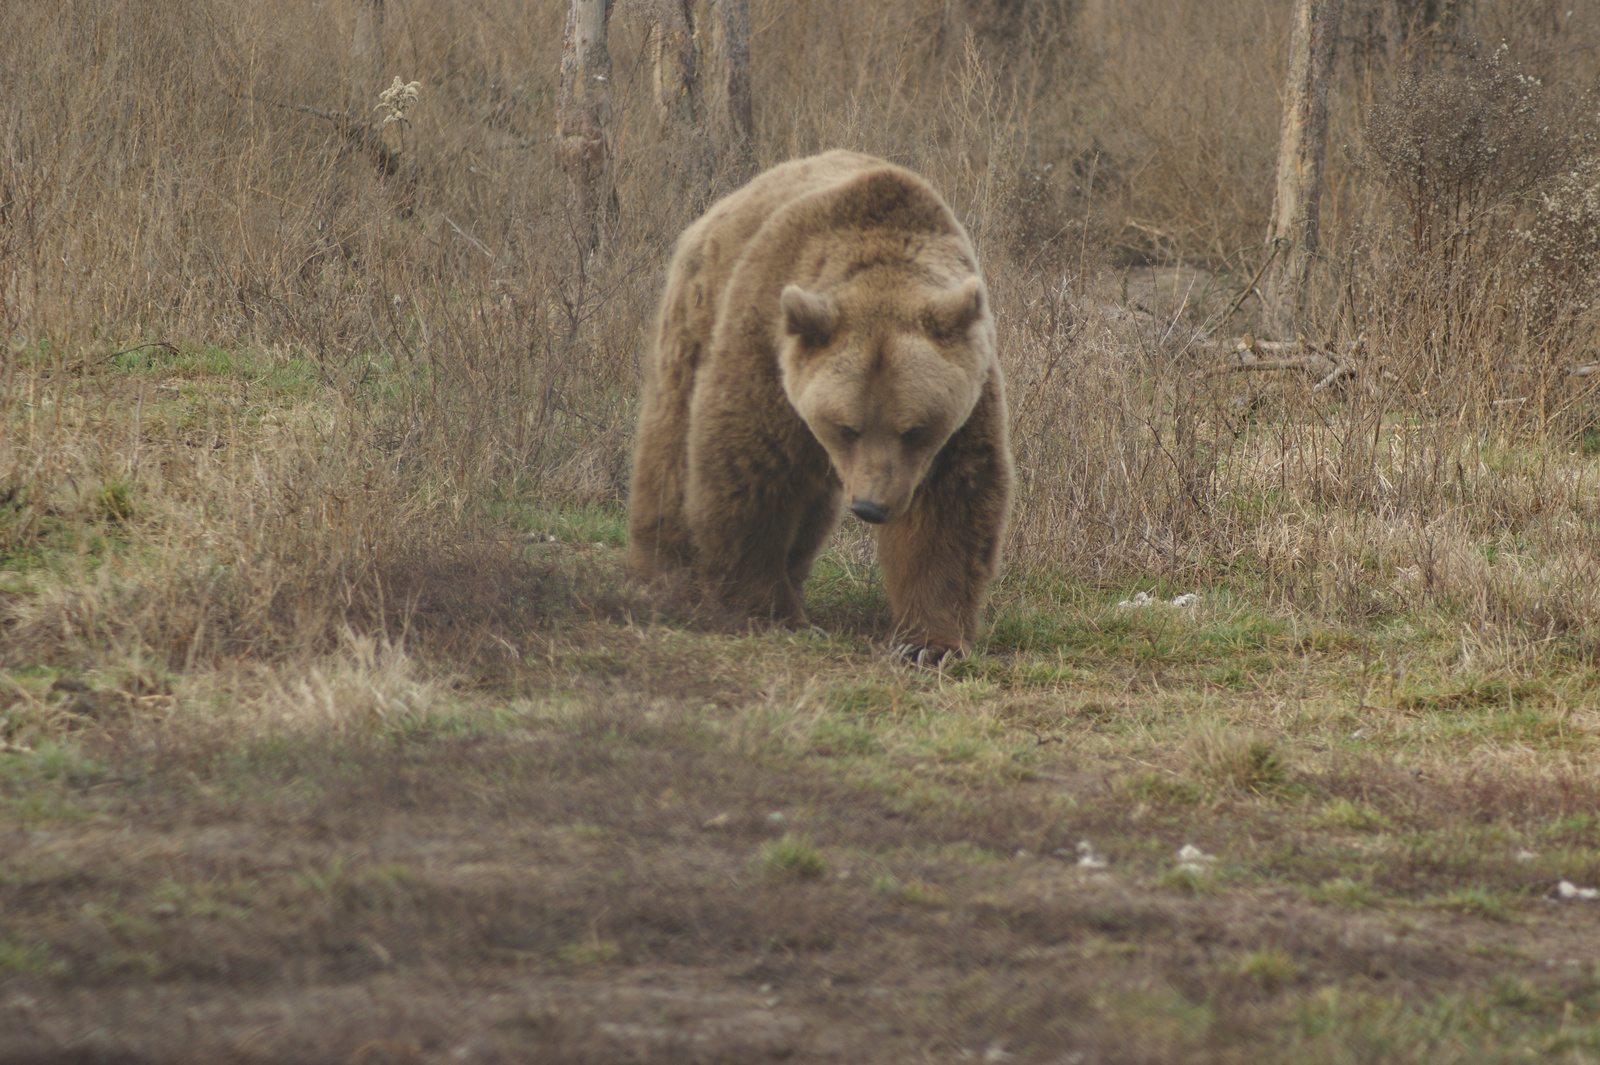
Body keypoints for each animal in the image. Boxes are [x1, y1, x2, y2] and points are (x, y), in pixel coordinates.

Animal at [627, 149, 1011, 665]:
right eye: (847, 426)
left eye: (913, 429)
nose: (870, 506)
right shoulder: (767, 351)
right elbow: (750, 470)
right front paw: (769, 613)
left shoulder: (963, 407)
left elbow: (949, 505)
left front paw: (926, 643)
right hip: (697, 313)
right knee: (669, 448)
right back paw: (665, 573)